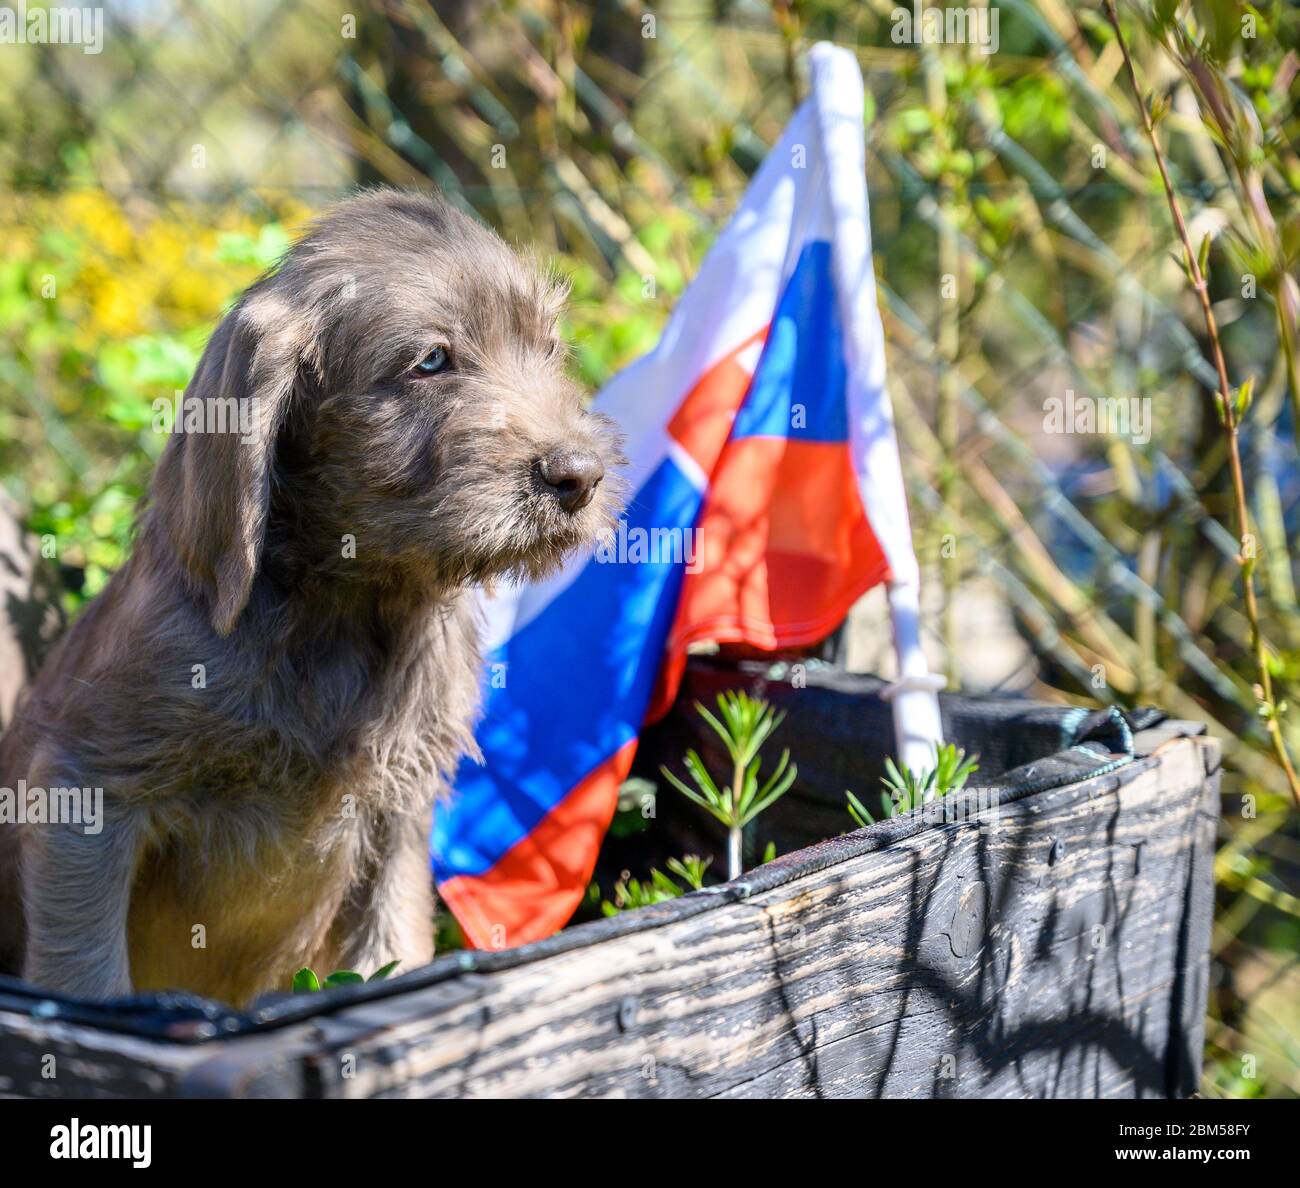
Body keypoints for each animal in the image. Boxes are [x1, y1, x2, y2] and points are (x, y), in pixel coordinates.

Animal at [0, 189, 624, 1003]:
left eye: (550, 350)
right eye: (431, 361)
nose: (580, 475)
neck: (345, 611)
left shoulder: (399, 807)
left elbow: (390, 944)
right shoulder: (85, 787)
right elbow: (87, 972)